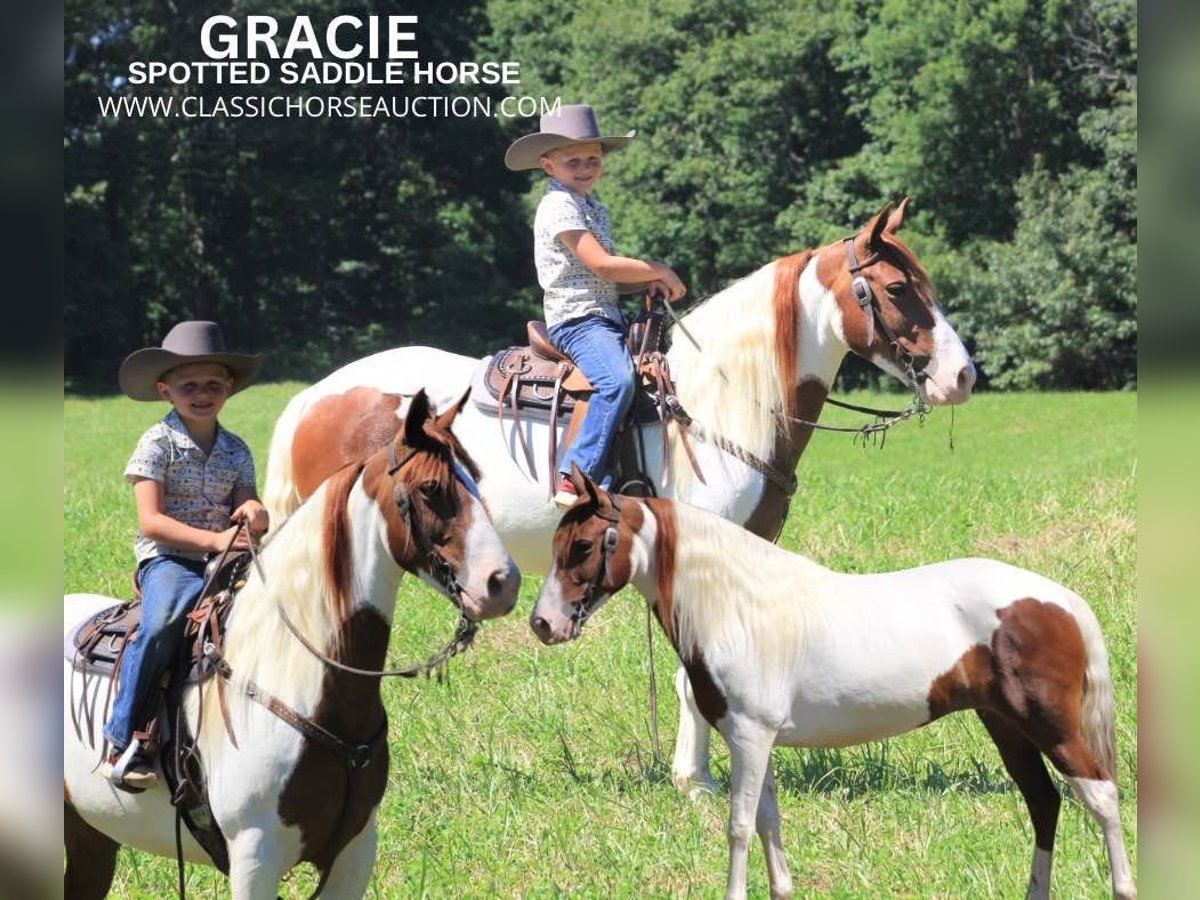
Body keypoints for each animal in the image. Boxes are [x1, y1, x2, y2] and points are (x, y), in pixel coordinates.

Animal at [64, 393, 516, 900]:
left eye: (474, 478)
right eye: (430, 488)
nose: (503, 582)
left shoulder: (354, 854)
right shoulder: (255, 857)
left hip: (90, 835)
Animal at [532, 472, 1132, 900]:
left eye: (583, 545)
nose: (543, 624)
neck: (740, 609)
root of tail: (1060, 599)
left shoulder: (749, 736)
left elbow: (739, 826)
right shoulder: (757, 741)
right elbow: (768, 821)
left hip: (1050, 726)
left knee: (1100, 797)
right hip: (1006, 726)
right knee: (1044, 803)